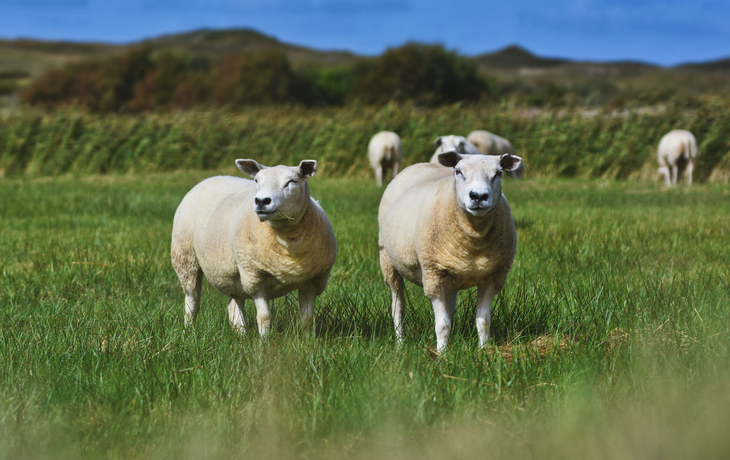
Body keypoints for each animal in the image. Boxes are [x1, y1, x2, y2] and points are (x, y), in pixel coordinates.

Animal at [172, 160, 336, 336]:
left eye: (293, 181)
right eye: (257, 180)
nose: (262, 201)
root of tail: (211, 178)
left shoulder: (313, 280)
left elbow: (307, 319)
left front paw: (308, 341)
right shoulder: (255, 276)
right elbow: (264, 317)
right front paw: (264, 342)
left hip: (233, 272)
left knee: (234, 304)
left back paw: (241, 334)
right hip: (185, 258)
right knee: (192, 300)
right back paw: (188, 331)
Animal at [376, 153, 524, 350]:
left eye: (498, 173)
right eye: (458, 171)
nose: (478, 196)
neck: (474, 238)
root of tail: (421, 164)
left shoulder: (493, 277)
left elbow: (483, 321)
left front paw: (483, 350)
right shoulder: (434, 276)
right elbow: (442, 325)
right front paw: (442, 353)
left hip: (452, 274)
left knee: (449, 307)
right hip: (387, 260)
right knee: (398, 306)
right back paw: (400, 343)